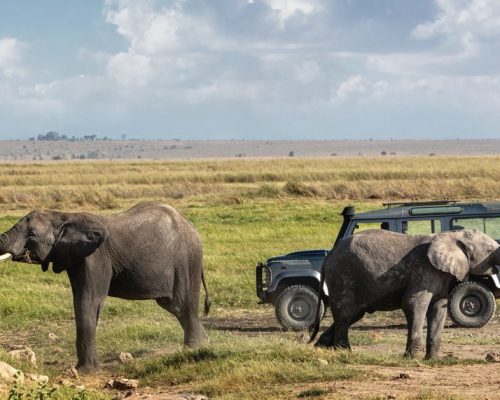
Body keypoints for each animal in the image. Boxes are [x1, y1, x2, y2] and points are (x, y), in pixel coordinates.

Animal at [0, 202, 211, 374]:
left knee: (183, 305)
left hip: (187, 261)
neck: (63, 216)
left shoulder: (96, 256)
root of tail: (191, 227)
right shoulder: (76, 257)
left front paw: (85, 372)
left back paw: (193, 349)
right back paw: (205, 343)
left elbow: (89, 301)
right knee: (176, 307)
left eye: (32, 235)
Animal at [310, 228, 498, 360]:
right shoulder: (424, 270)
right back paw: (345, 353)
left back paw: (320, 348)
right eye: (490, 249)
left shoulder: (441, 275)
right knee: (346, 313)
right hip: (343, 274)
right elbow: (414, 304)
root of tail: (330, 253)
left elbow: (439, 309)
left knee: (353, 314)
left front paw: (433, 360)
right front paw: (412, 359)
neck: (452, 235)